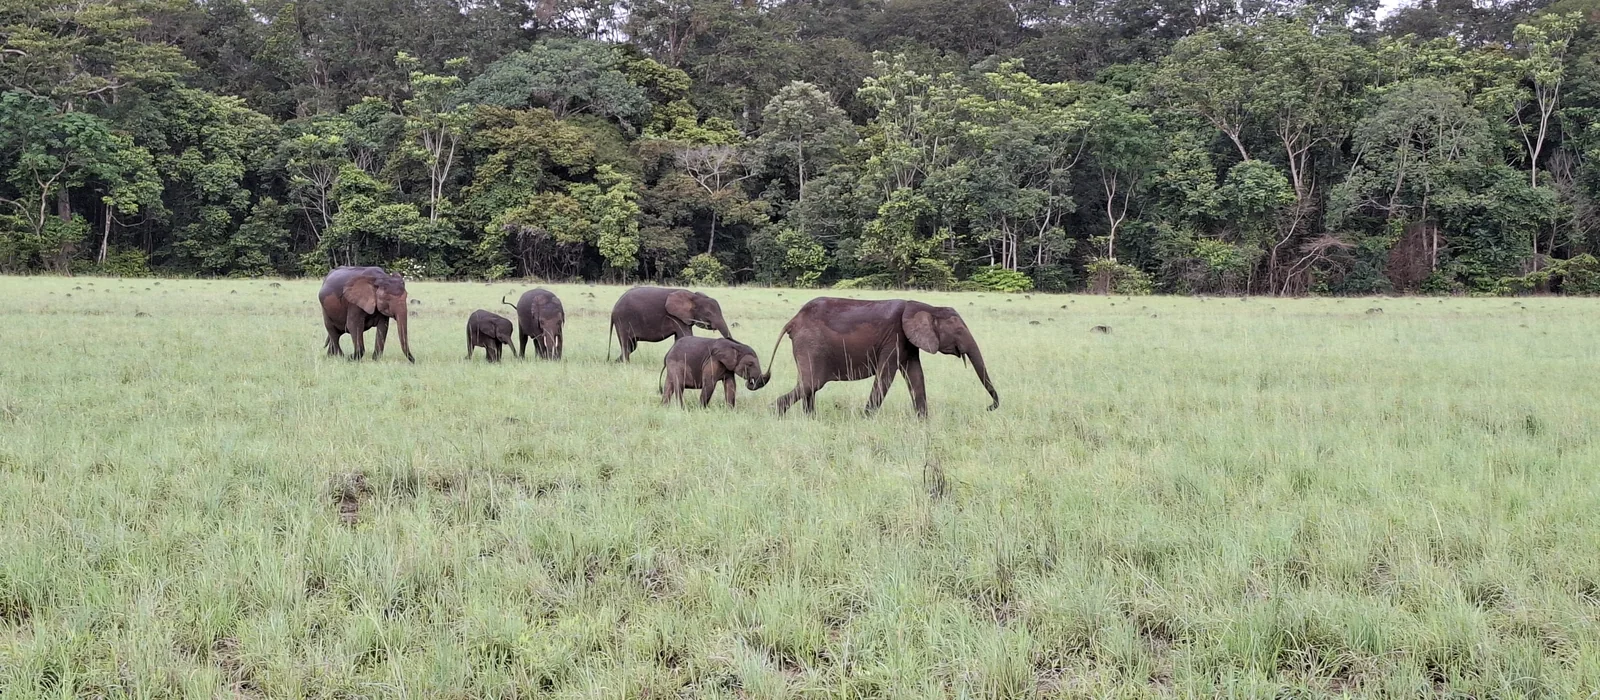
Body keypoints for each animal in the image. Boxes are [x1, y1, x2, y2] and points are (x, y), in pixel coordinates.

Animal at [764, 297, 999, 418]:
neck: (927, 306)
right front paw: (866, 418)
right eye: (958, 330)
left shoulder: (908, 342)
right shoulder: (894, 337)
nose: (989, 408)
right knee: (812, 383)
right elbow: (886, 376)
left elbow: (916, 376)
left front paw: (923, 421)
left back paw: (809, 418)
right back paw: (775, 412)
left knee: (808, 386)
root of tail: (793, 321)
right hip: (811, 344)